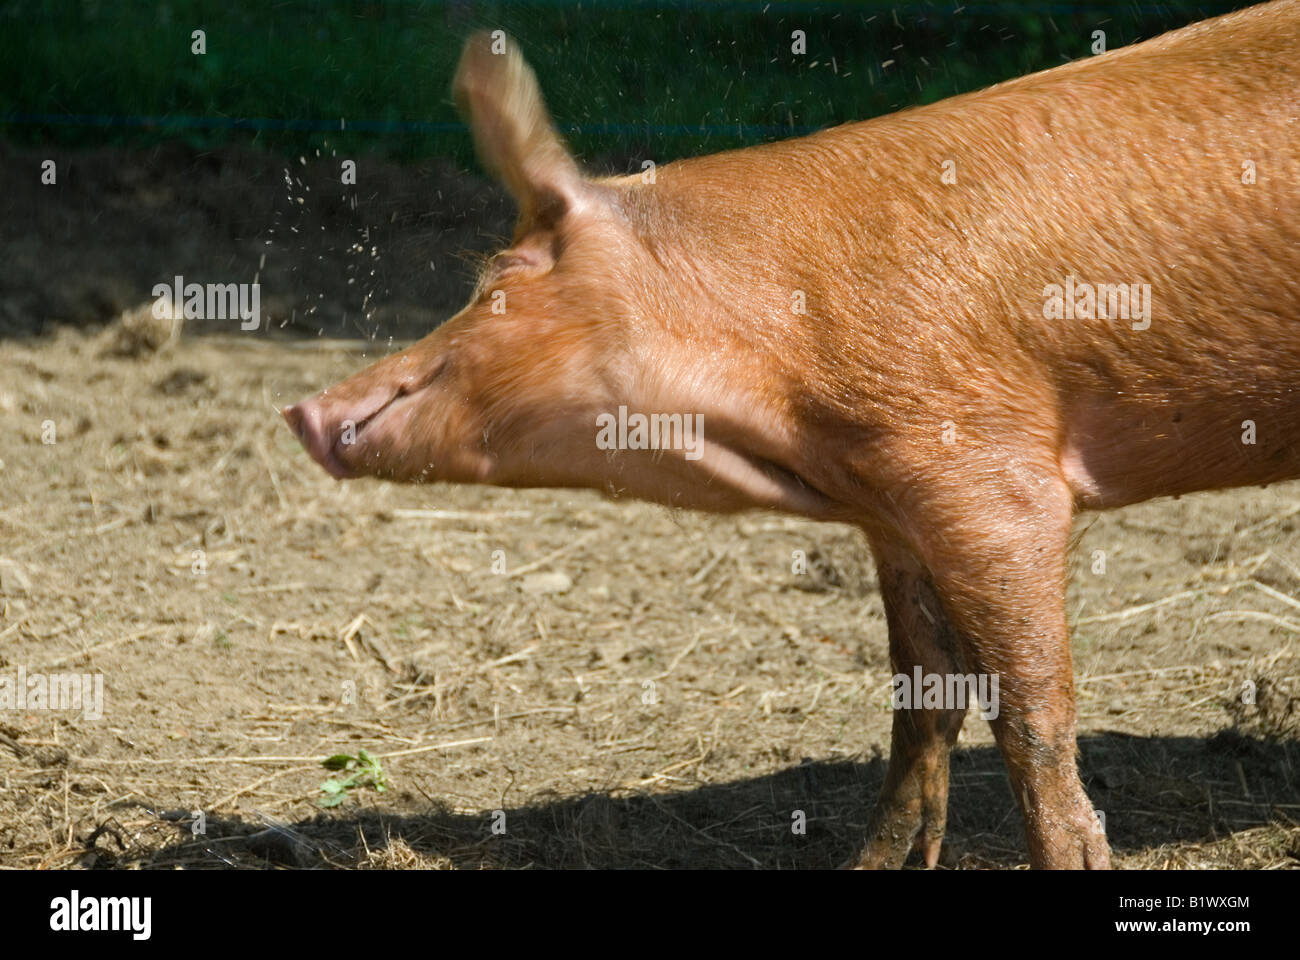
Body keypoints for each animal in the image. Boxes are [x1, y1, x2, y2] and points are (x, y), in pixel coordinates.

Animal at [284, 0, 1300, 868]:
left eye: (495, 279)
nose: (303, 409)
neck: (778, 416)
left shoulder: (990, 477)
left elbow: (1030, 711)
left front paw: (1075, 856)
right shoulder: (892, 513)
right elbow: (920, 702)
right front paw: (871, 863)